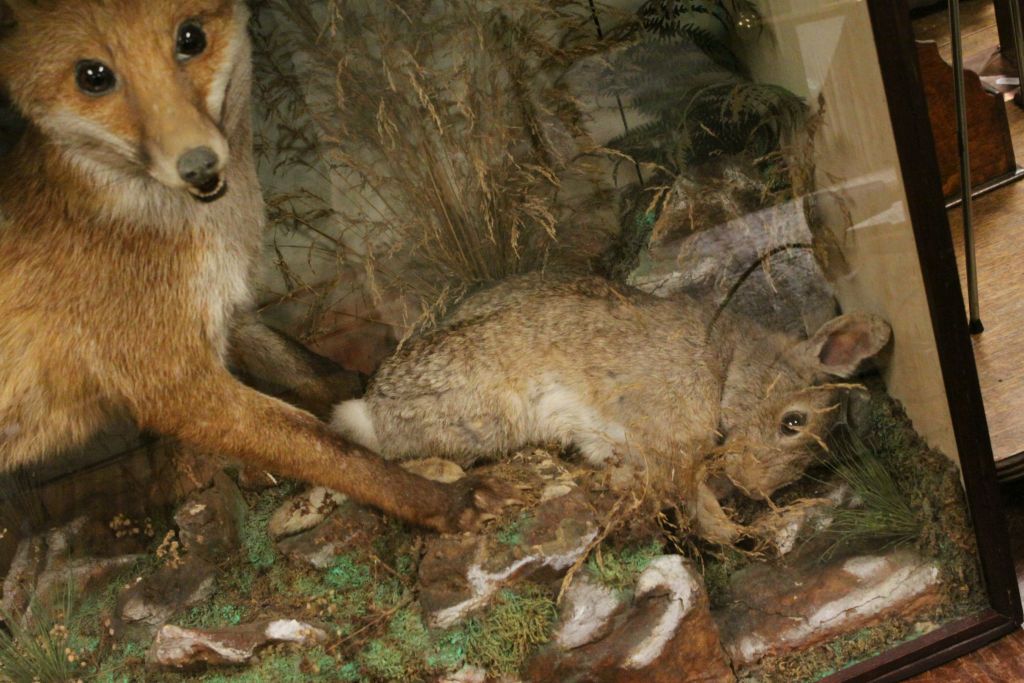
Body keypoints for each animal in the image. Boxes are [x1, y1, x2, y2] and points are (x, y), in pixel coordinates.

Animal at [0, 0, 499, 532]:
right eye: (93, 76)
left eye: (190, 38)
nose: (197, 165)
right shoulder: (173, 385)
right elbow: (327, 449)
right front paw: (438, 502)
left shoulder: (223, 310)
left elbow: (307, 367)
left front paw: (364, 391)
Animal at [333, 274, 888, 544]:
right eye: (793, 422)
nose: (753, 487)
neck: (729, 366)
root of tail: (369, 406)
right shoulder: (672, 442)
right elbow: (693, 495)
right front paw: (736, 533)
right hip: (485, 420)